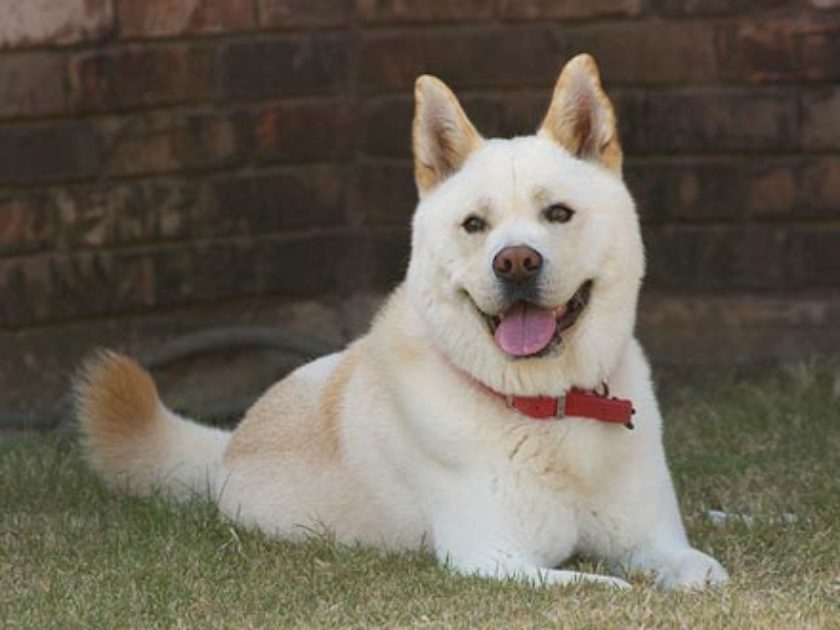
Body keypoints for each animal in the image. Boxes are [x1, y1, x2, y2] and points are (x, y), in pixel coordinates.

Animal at [75, 54, 724, 592]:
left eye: (558, 213)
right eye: (474, 225)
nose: (515, 262)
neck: (550, 409)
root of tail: (227, 445)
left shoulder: (656, 541)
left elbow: (703, 572)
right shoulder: (493, 560)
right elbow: (606, 586)